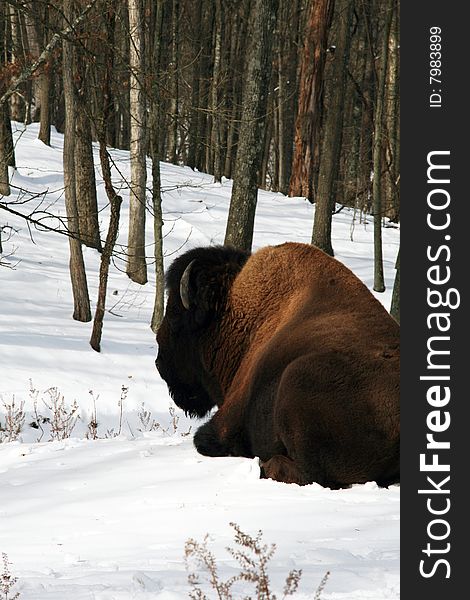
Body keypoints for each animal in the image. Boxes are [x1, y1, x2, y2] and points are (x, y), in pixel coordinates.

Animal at [156, 243, 398, 488]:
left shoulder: (226, 421)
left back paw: (265, 465)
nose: (159, 363)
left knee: (311, 475)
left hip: (297, 377)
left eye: (176, 318)